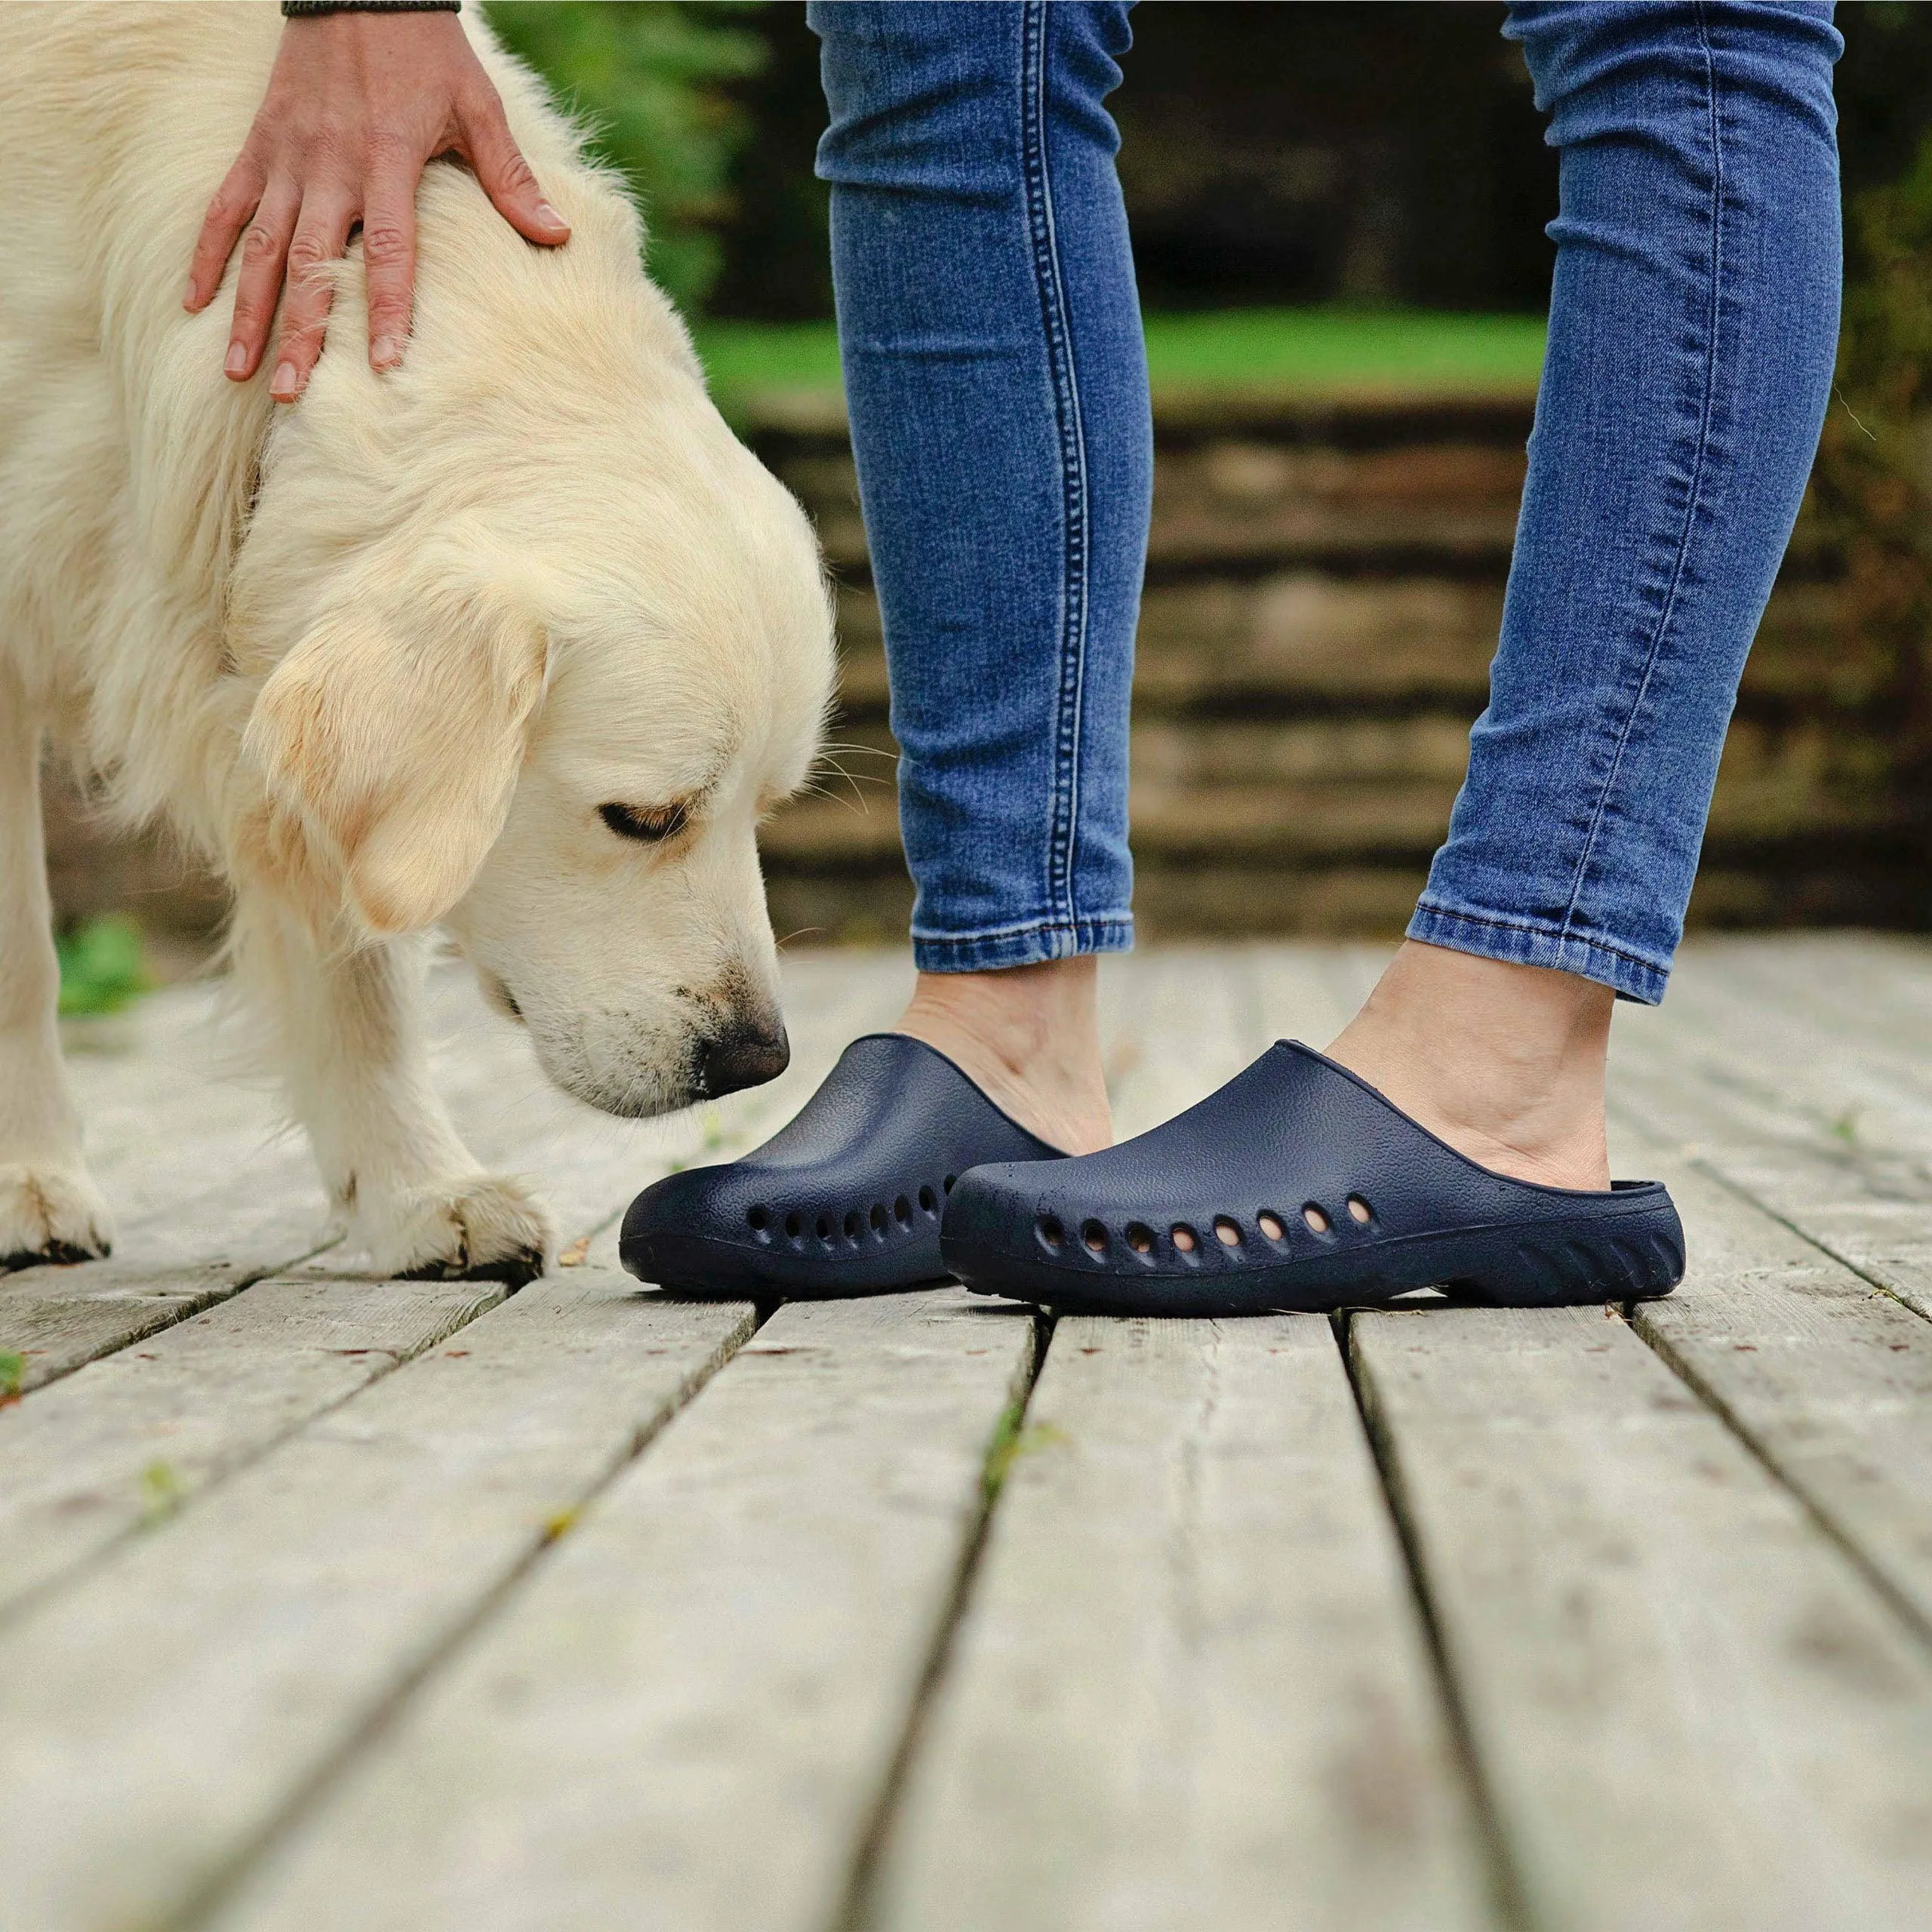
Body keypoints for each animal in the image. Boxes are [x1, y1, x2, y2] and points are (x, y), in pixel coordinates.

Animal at [0, 11, 830, 1282]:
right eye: (642, 818)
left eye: (766, 809)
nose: (757, 1062)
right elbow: (20, 956)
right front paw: (26, 1181)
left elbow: (363, 971)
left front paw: (416, 1190)